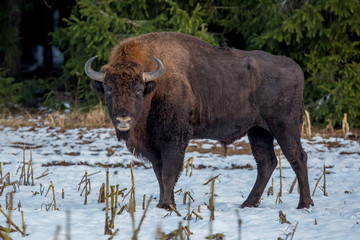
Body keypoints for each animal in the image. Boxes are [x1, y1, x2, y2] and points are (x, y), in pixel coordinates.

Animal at [84, 32, 312, 210]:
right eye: (108, 90)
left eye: (139, 90)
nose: (123, 119)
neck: (155, 86)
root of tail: (296, 69)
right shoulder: (153, 146)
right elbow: (159, 173)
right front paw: (162, 203)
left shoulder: (174, 139)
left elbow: (168, 173)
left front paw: (167, 205)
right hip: (258, 131)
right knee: (266, 162)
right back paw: (248, 203)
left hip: (284, 127)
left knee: (297, 157)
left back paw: (304, 204)